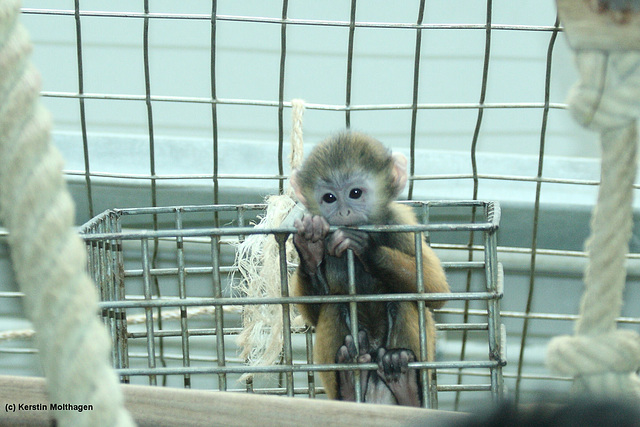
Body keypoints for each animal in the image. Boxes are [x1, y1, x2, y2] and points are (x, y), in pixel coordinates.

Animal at [292, 132, 450, 406]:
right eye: (329, 198)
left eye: (355, 193)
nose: (344, 212)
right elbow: (313, 314)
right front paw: (310, 248)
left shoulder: (400, 225)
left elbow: (436, 292)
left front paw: (367, 248)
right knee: (335, 306)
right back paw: (349, 385)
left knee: (403, 300)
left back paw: (406, 388)